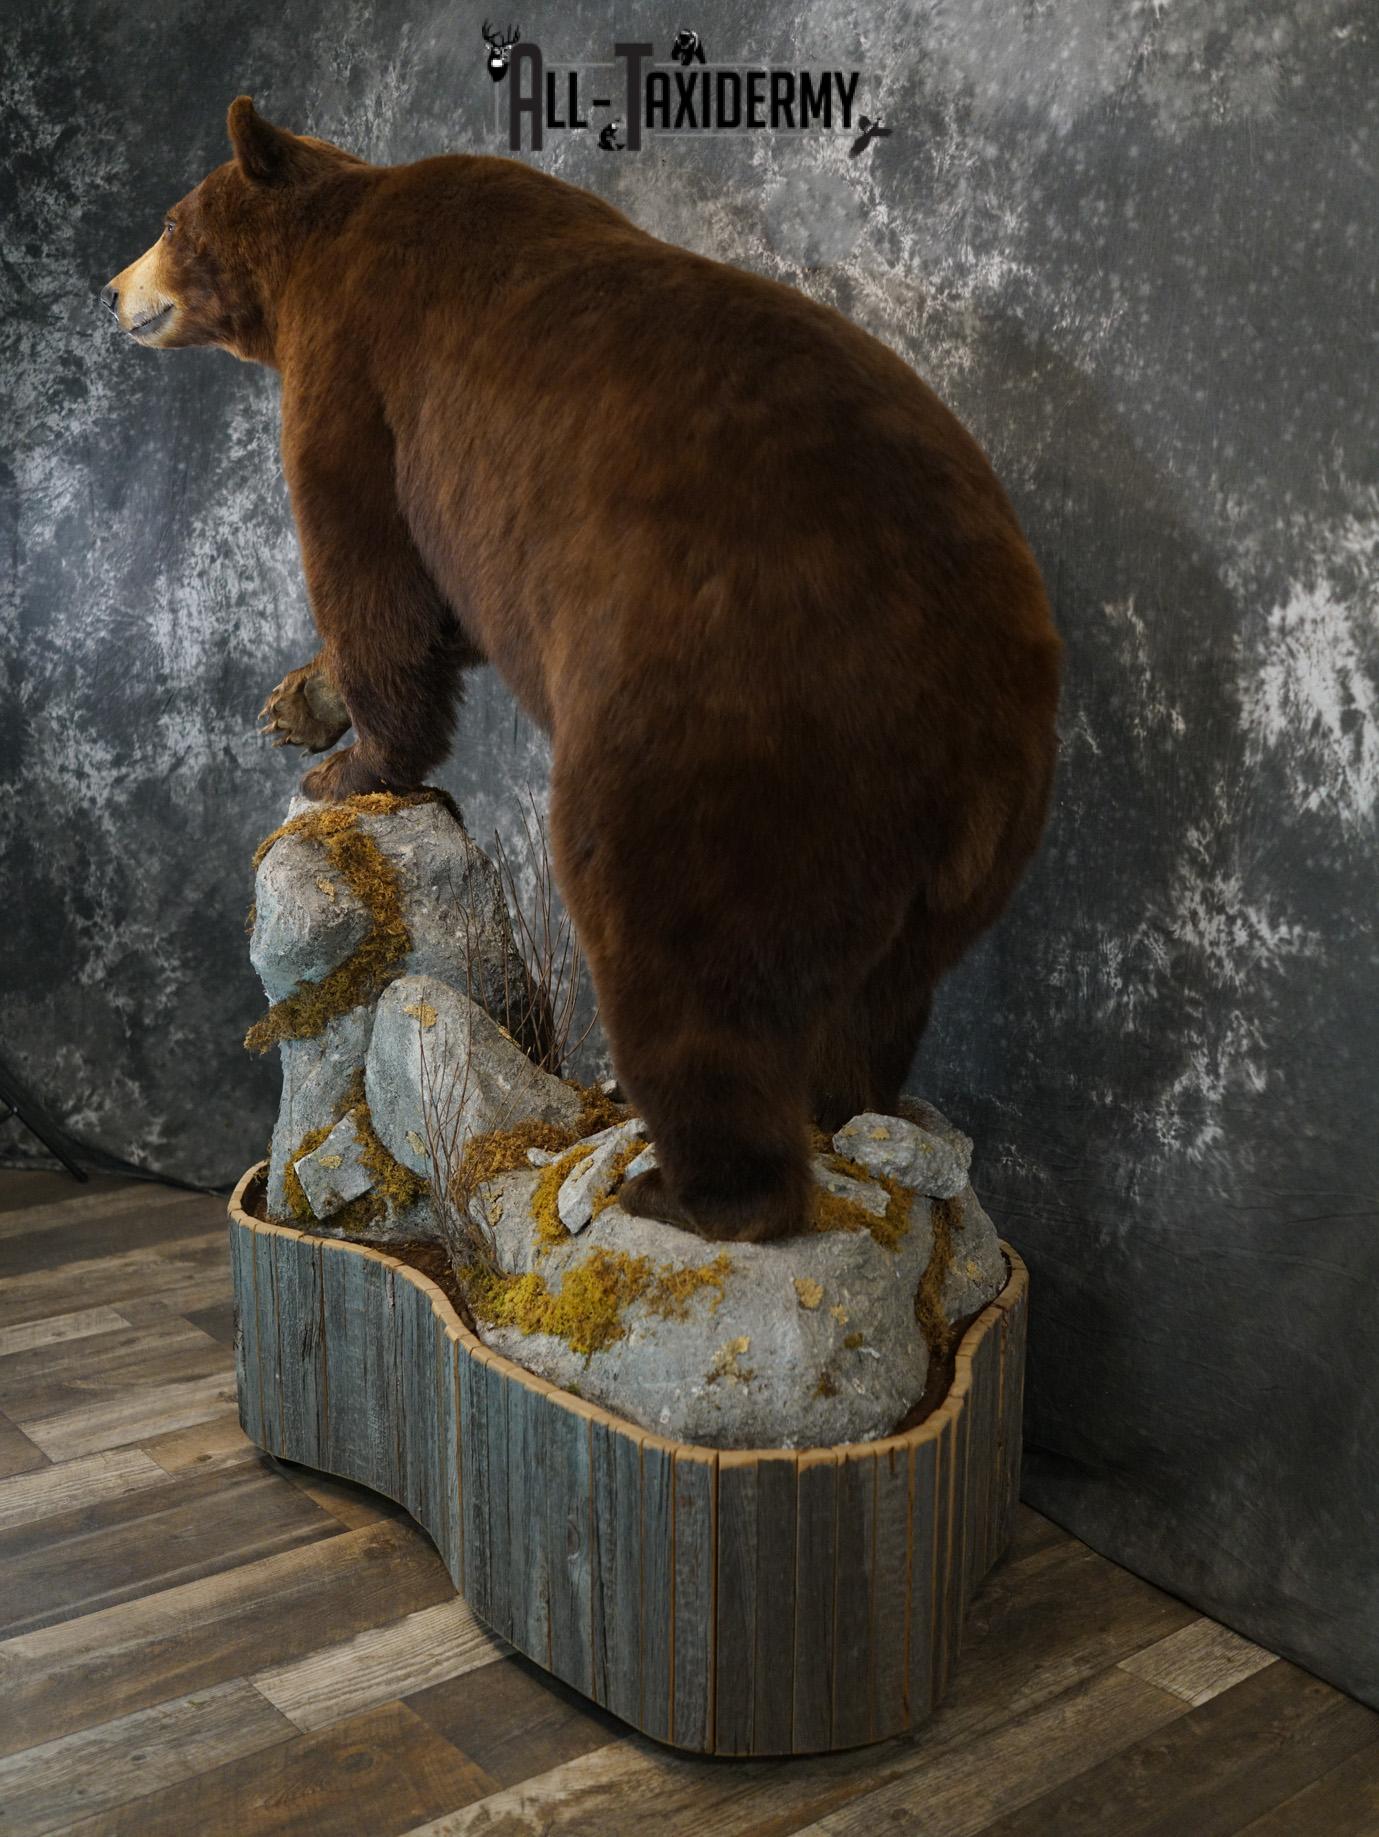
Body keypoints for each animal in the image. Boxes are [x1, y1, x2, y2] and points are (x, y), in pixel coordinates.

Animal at [103, 98, 1062, 1244]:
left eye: (169, 220)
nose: (111, 289)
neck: (320, 252)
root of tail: (967, 702)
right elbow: (441, 612)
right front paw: (295, 702)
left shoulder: (361, 378)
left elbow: (372, 568)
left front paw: (353, 764)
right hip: (956, 855)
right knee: (878, 996)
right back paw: (842, 1108)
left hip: (722, 742)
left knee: (680, 961)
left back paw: (686, 1188)